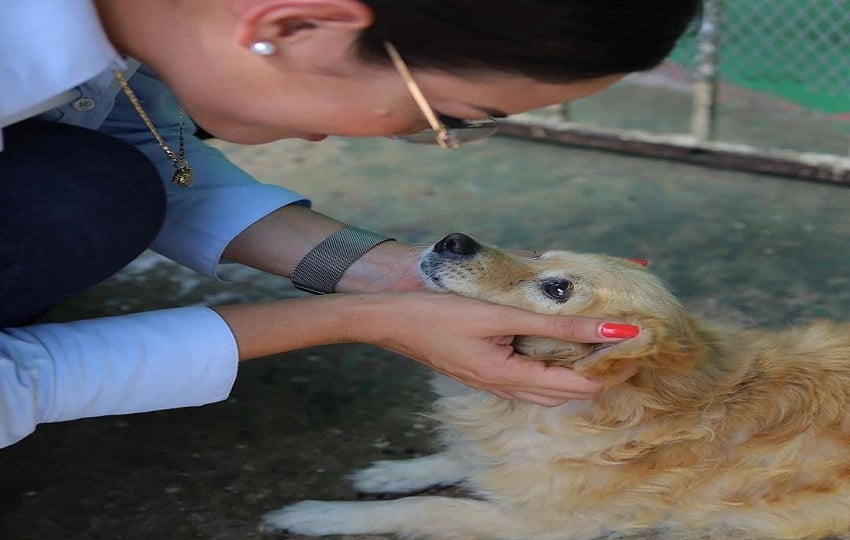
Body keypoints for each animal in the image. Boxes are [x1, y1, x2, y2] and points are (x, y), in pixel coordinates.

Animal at [260, 232, 848, 540]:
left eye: (557, 289)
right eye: (542, 255)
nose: (454, 239)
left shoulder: (545, 526)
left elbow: (427, 507)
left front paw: (321, 514)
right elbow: (460, 458)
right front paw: (392, 472)